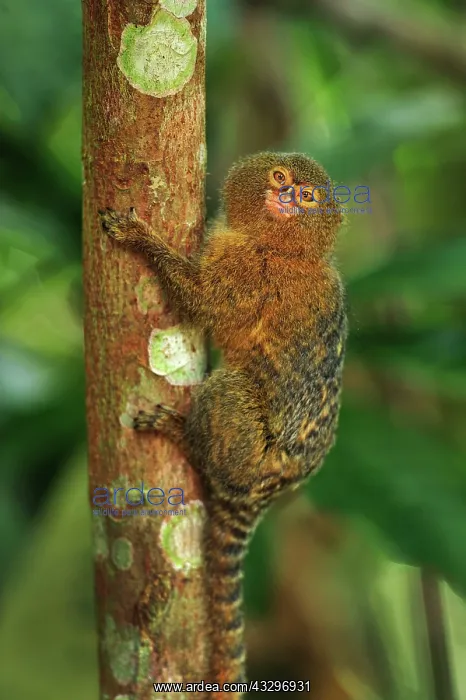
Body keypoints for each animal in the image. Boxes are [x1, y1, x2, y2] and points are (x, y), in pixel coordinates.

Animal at [99, 151, 347, 696]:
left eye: (306, 198)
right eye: (280, 178)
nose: (284, 197)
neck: (285, 248)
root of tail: (266, 491)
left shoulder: (250, 272)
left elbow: (201, 302)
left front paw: (138, 236)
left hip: (244, 453)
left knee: (227, 392)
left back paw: (182, 437)